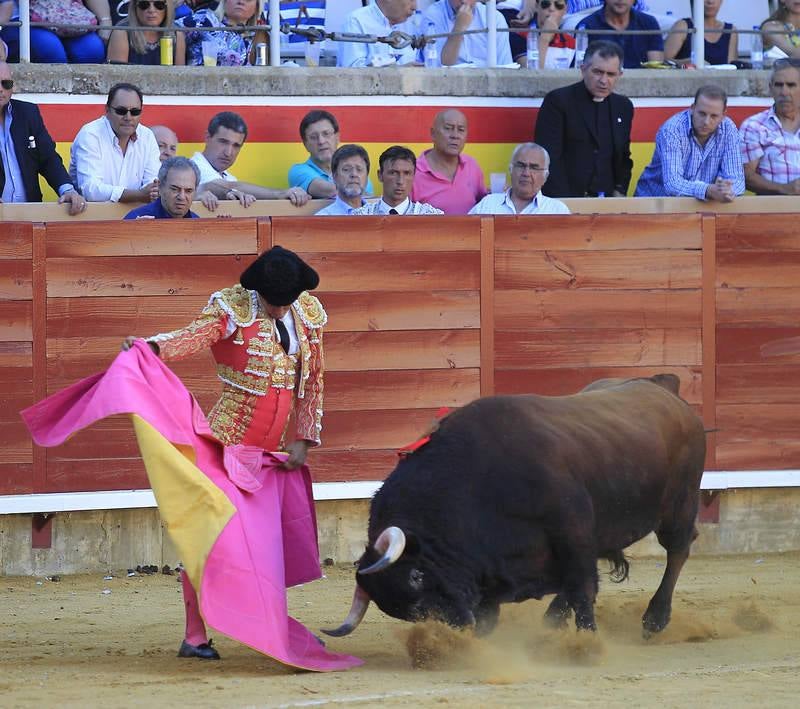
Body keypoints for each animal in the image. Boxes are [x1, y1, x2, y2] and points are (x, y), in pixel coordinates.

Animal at [324, 376, 708, 636]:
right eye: (403, 611)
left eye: (417, 575)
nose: (456, 625)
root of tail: (662, 387)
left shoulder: (573, 530)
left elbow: (583, 588)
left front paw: (588, 642)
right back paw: (553, 619)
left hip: (679, 506)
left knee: (679, 549)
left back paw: (655, 619)